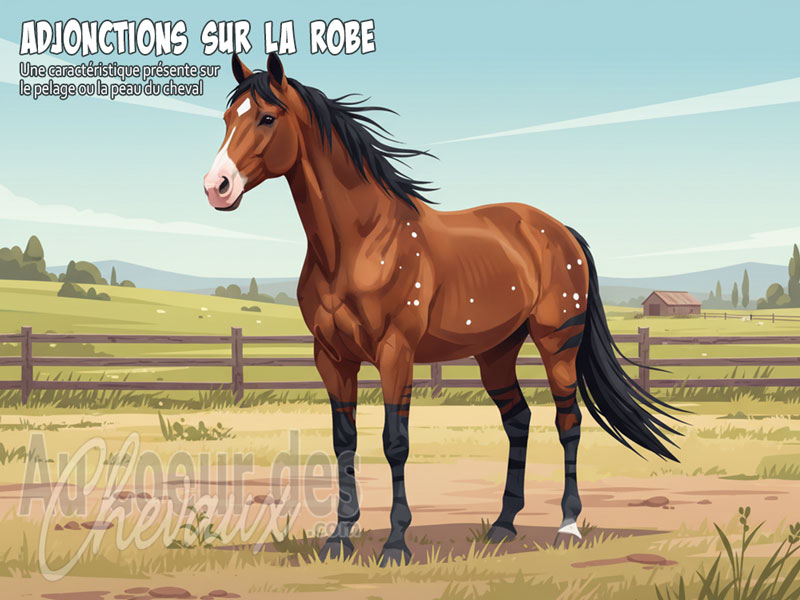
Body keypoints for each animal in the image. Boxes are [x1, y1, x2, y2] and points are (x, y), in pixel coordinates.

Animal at [203, 53, 683, 566]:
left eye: (267, 118)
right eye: (227, 119)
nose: (216, 187)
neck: (360, 243)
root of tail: (559, 230)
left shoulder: (396, 353)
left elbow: (395, 442)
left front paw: (396, 543)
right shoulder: (332, 358)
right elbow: (343, 442)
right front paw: (339, 537)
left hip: (558, 343)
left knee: (567, 421)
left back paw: (567, 525)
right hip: (496, 352)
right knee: (518, 420)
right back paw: (503, 525)